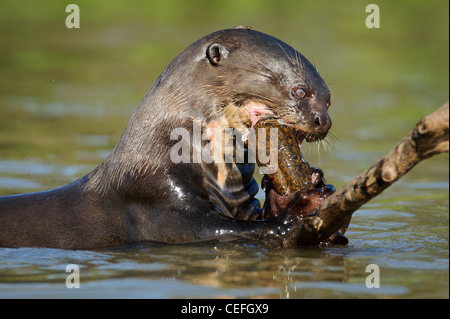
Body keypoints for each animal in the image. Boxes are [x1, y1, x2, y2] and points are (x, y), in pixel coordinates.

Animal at [0, 28, 340, 250]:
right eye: (299, 90)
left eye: (328, 98)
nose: (323, 121)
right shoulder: (158, 197)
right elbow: (212, 229)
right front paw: (293, 215)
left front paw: (309, 188)